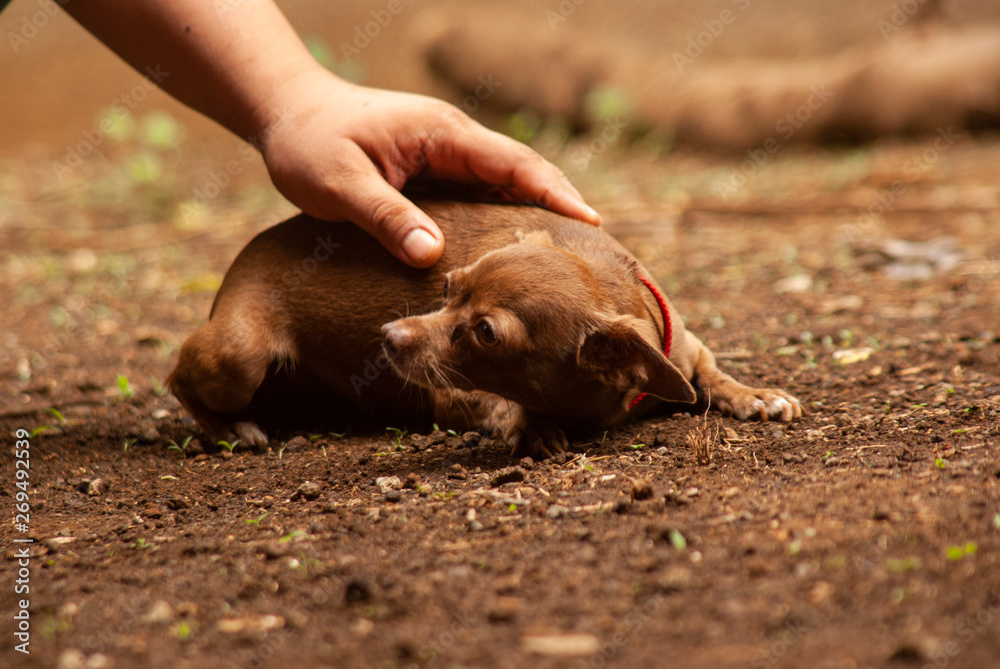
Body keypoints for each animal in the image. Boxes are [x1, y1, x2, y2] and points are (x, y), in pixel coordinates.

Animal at [168, 190, 800, 456]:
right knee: (177, 378)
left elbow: (713, 375)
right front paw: (531, 424)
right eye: (446, 287)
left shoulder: (689, 352)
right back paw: (232, 429)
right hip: (239, 355)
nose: (387, 337)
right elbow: (498, 405)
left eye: (486, 333)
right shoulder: (449, 396)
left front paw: (756, 393)